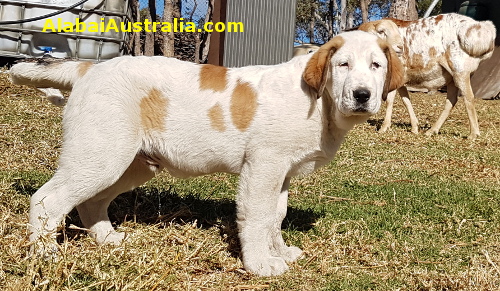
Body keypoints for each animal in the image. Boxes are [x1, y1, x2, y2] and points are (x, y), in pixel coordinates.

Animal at [9, 30, 404, 278]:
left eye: (376, 66)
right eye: (343, 65)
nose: (363, 95)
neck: (318, 100)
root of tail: (90, 68)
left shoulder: (282, 174)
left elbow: (275, 217)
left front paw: (279, 252)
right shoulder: (263, 167)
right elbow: (257, 218)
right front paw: (260, 265)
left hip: (129, 164)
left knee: (91, 201)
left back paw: (108, 239)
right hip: (101, 155)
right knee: (47, 199)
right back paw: (45, 254)